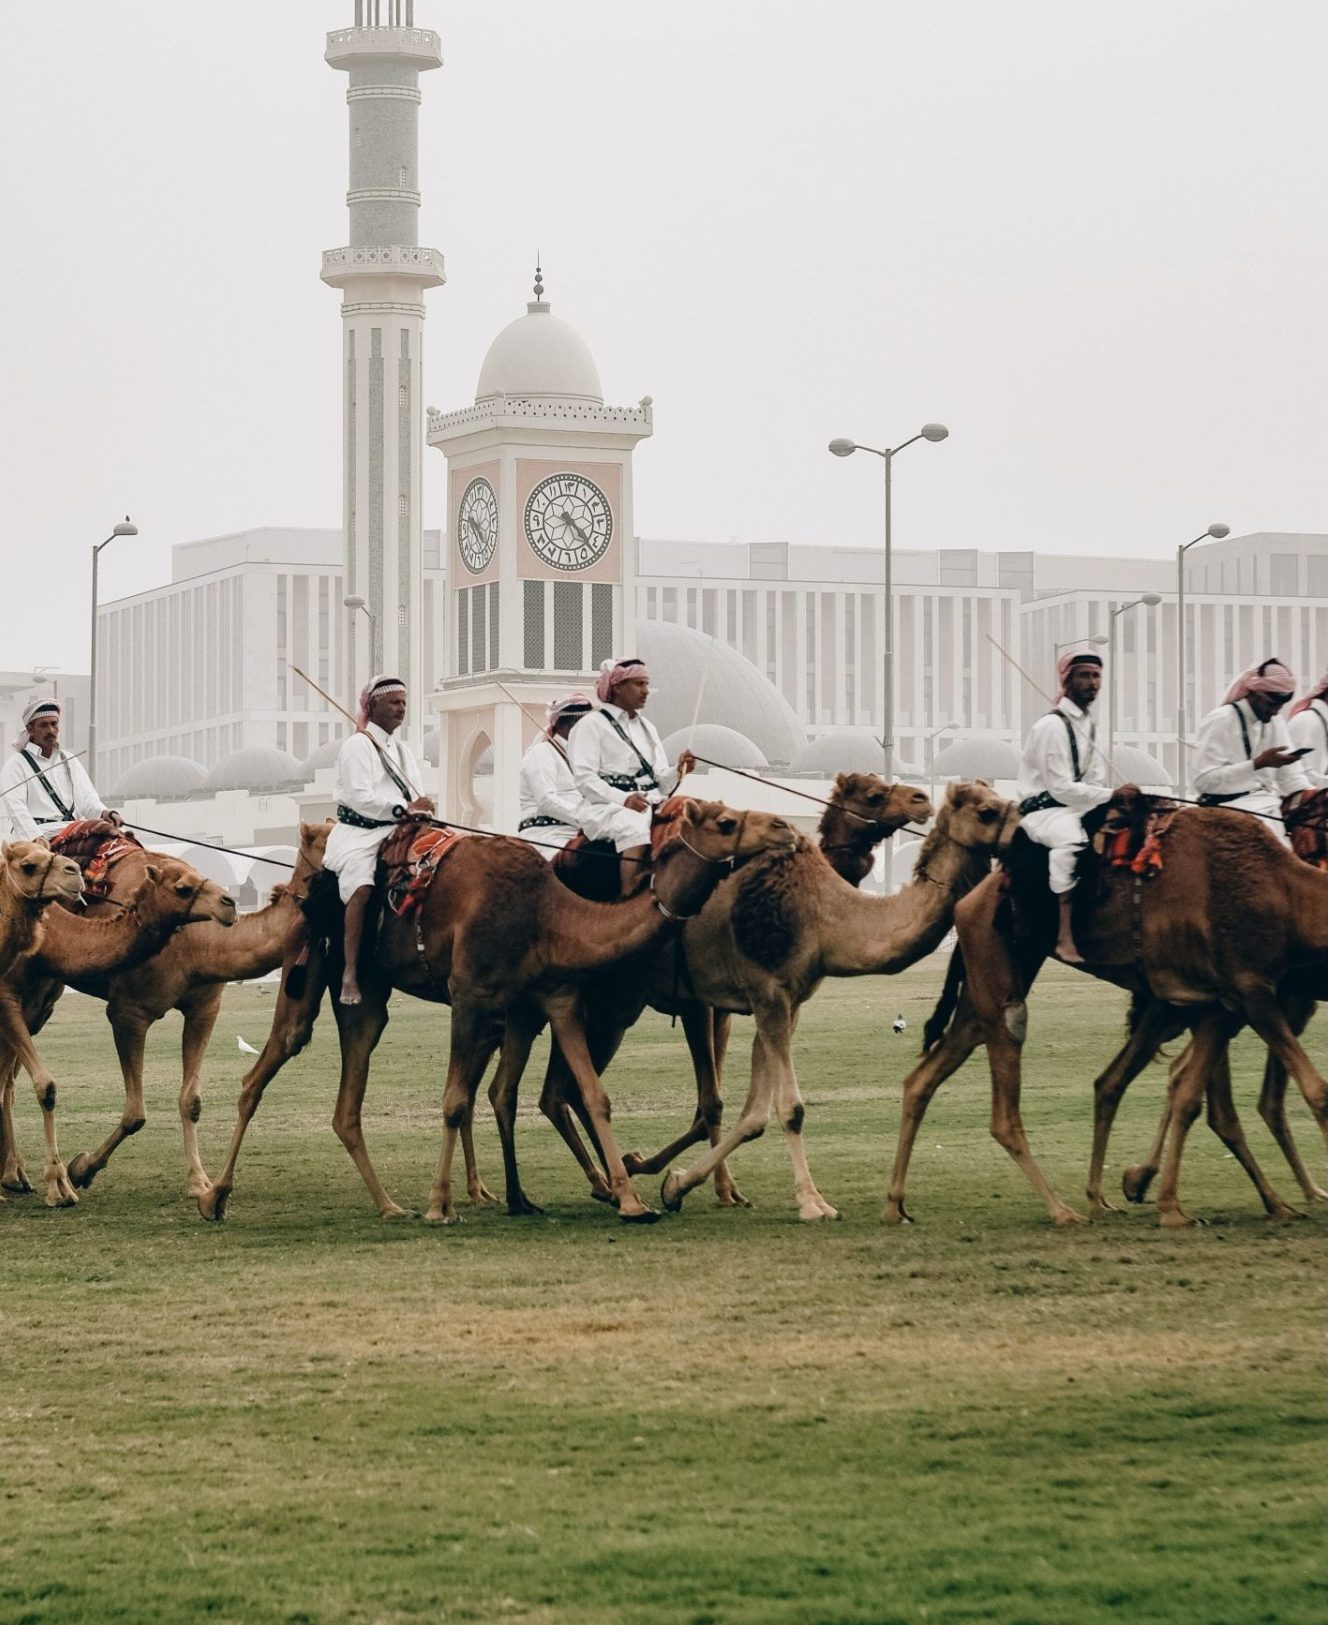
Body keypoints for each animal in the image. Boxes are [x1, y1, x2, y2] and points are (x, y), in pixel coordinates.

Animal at [0, 858, 235, 1202]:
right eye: (182, 888)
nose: (229, 903)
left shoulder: (205, 1007)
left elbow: (191, 1100)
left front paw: (200, 1182)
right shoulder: (127, 1013)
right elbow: (131, 1111)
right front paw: (72, 1175)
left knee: (8, 1083)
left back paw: (15, 1176)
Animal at [200, 793, 793, 1222]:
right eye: (725, 822)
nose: (784, 827)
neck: (547, 910)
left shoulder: (555, 998)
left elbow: (590, 1095)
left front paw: (631, 1198)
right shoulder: (471, 995)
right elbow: (456, 1101)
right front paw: (441, 1206)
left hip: (370, 999)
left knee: (348, 1103)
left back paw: (392, 1204)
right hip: (312, 969)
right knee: (265, 1068)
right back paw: (216, 1197)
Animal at [529, 776, 1014, 1222]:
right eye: (988, 811)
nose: (920, 798)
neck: (820, 914)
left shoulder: (783, 1003)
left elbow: (752, 1114)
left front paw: (680, 1184)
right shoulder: (758, 996)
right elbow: (785, 1107)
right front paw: (813, 1203)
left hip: (618, 1005)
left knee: (561, 1091)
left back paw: (613, 1183)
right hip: (603, 1002)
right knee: (564, 1089)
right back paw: (613, 1186)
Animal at [877, 793, 1326, 1222]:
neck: (1283, 892)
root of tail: (967, 903)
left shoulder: (1219, 1001)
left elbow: (1190, 1097)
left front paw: (1169, 1200)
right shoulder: (1250, 989)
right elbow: (1314, 1092)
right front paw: (1169, 1204)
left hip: (990, 981)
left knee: (926, 1076)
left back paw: (897, 1205)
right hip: (997, 966)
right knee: (1009, 1077)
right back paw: (1064, 1210)